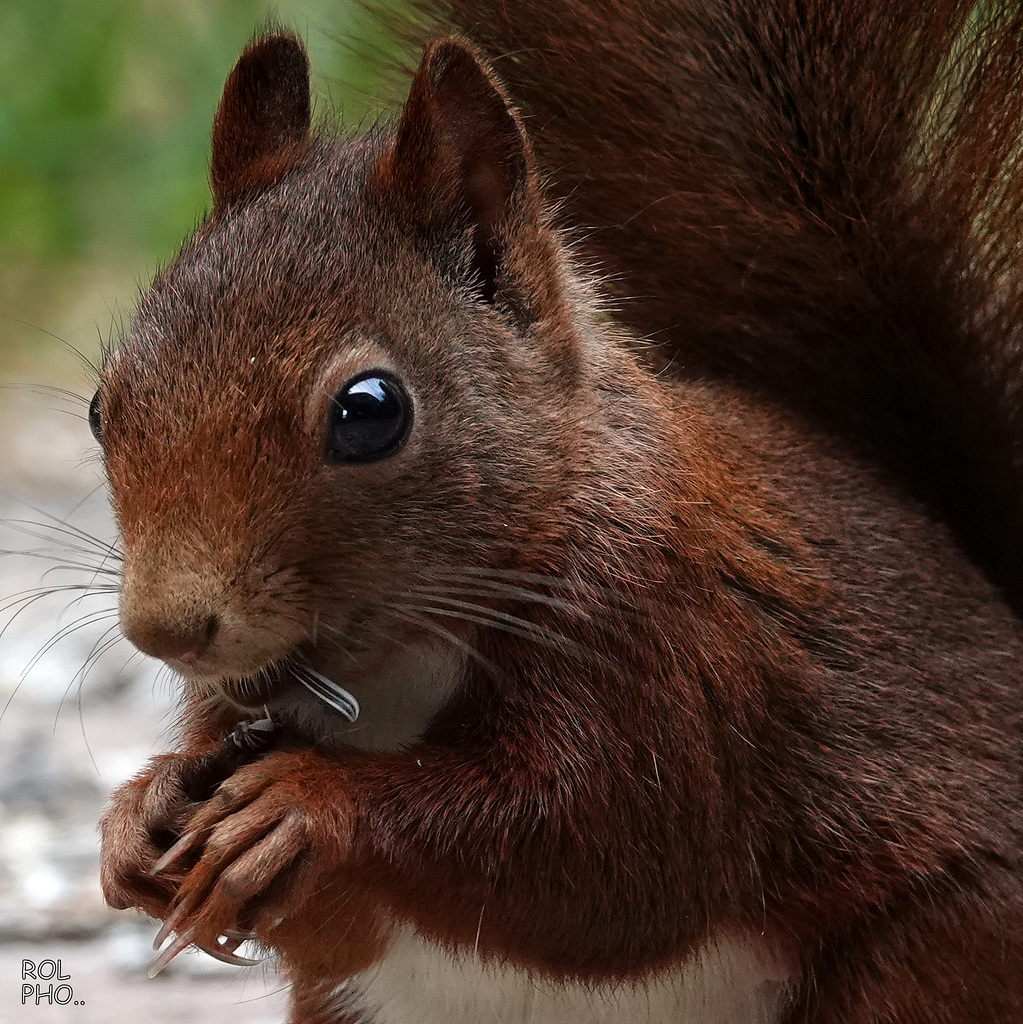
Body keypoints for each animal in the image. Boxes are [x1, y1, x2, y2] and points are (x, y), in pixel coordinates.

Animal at [97, 0, 1023, 1019]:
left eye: (369, 412)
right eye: (101, 405)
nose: (164, 630)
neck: (393, 666)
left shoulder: (665, 647)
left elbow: (598, 868)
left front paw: (302, 803)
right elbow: (330, 920)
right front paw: (138, 816)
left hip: (931, 954)